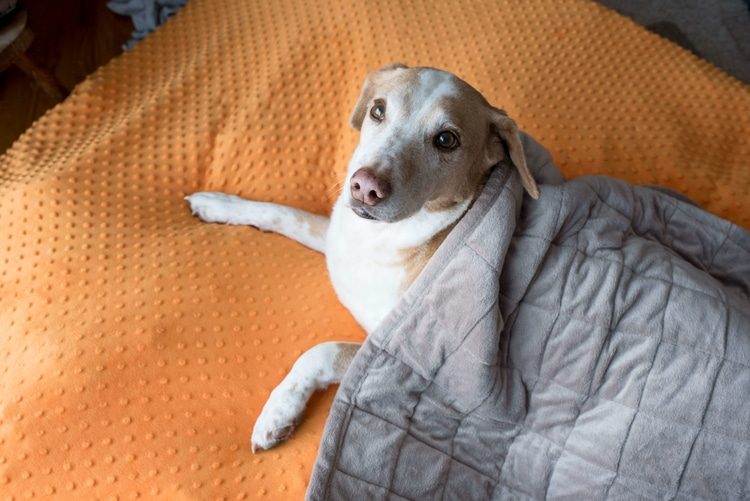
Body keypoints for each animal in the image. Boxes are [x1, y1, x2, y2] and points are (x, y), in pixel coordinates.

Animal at [187, 64, 540, 452]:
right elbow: (282, 213)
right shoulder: (337, 239)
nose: (365, 187)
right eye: (378, 110)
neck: (383, 239)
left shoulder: (401, 358)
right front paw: (220, 204)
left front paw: (279, 410)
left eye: (447, 139)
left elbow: (321, 352)